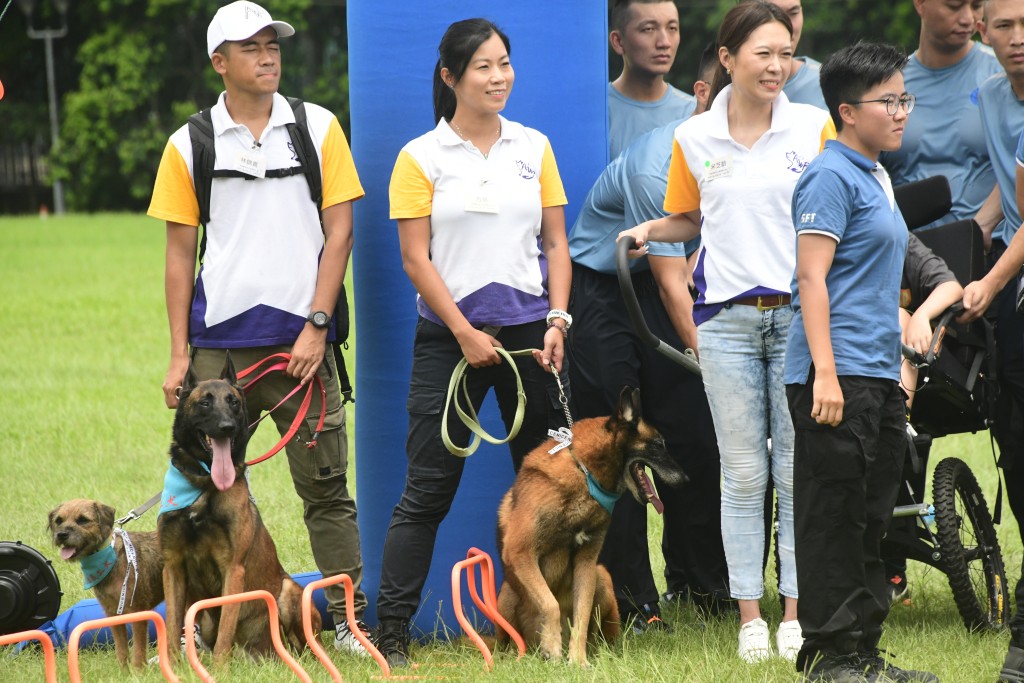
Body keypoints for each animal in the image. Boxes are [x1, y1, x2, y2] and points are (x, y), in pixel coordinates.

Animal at [48, 497, 163, 667]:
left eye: (82, 520)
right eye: (59, 520)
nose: (61, 534)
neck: (111, 557)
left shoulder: (138, 611)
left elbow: (138, 649)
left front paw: (138, 670)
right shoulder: (112, 613)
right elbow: (121, 649)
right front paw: (123, 670)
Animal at [154, 356, 315, 663]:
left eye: (234, 402)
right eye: (205, 402)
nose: (227, 426)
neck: (204, 484)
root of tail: (260, 654)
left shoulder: (233, 568)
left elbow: (226, 627)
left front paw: (217, 668)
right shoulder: (173, 566)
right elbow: (171, 624)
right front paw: (172, 664)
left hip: (290, 592)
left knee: (302, 646)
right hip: (205, 619)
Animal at [495, 389, 688, 667]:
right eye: (658, 444)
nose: (686, 480)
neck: (584, 474)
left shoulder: (586, 563)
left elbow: (582, 615)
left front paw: (577, 660)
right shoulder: (520, 553)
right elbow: (550, 604)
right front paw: (553, 648)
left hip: (602, 577)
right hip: (507, 594)